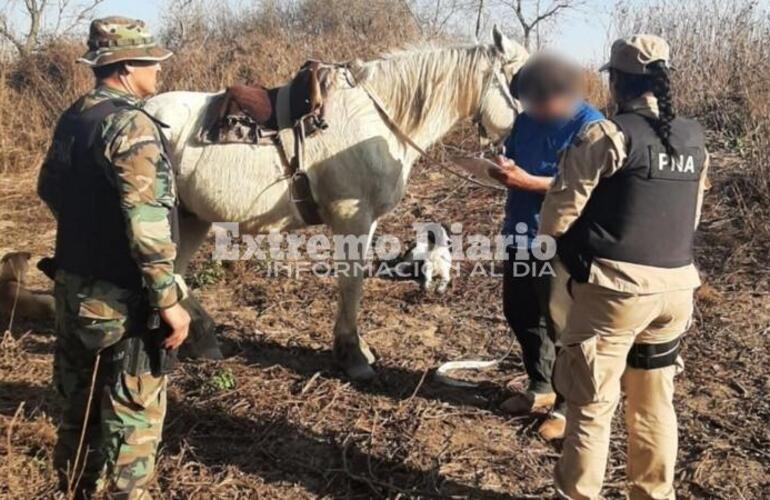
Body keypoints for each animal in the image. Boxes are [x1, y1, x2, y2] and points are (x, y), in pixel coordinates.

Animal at [146, 27, 524, 378]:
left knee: (174, 273)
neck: (378, 119)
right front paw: (352, 354)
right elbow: (351, 283)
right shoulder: (352, 219)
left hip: (193, 217)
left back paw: (202, 337)